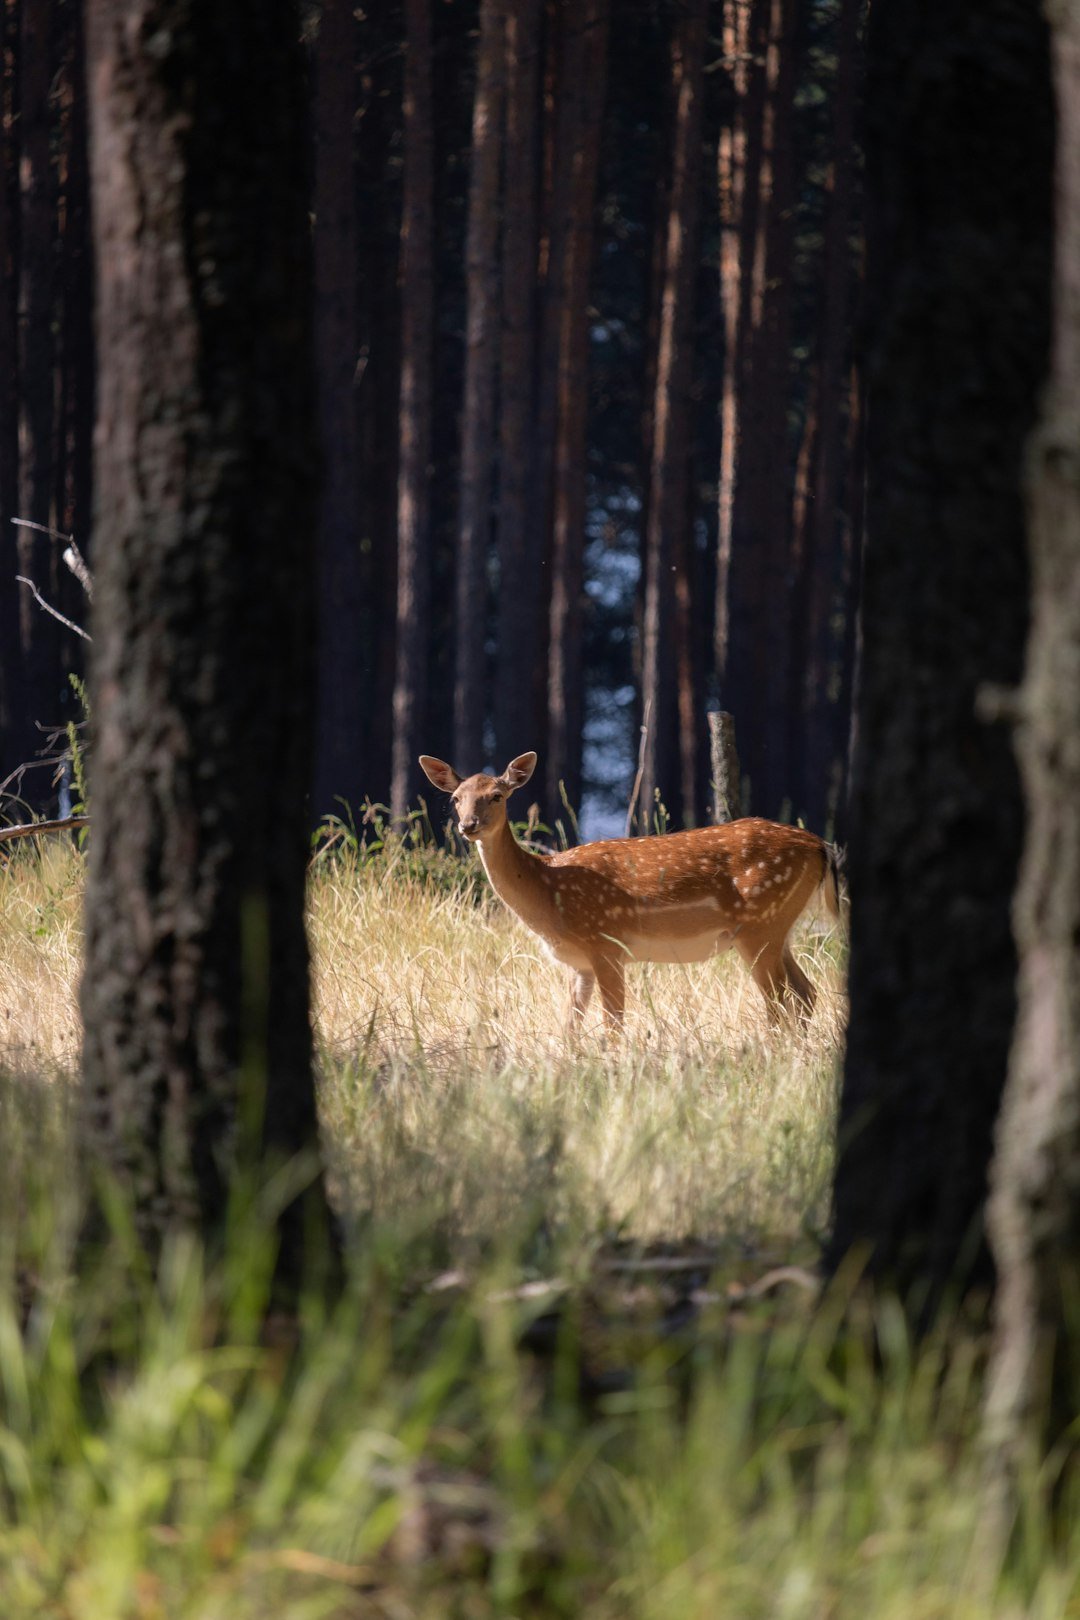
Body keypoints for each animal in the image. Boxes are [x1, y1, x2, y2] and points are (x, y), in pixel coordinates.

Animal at [419, 750, 841, 1032]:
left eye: (497, 795)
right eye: (456, 799)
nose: (468, 825)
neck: (548, 892)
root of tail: (821, 846)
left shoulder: (607, 944)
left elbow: (613, 1026)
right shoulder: (579, 963)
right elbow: (570, 1028)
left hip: (760, 923)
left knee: (781, 1003)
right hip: (778, 927)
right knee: (806, 994)